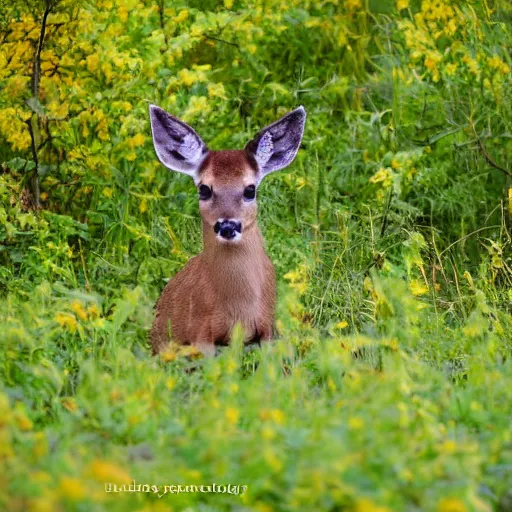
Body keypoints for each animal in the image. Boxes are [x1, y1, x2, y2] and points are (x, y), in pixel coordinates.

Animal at [149, 102, 308, 354]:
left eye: (250, 189)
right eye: (204, 189)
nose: (227, 226)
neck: (239, 306)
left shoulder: (268, 328)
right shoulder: (201, 333)